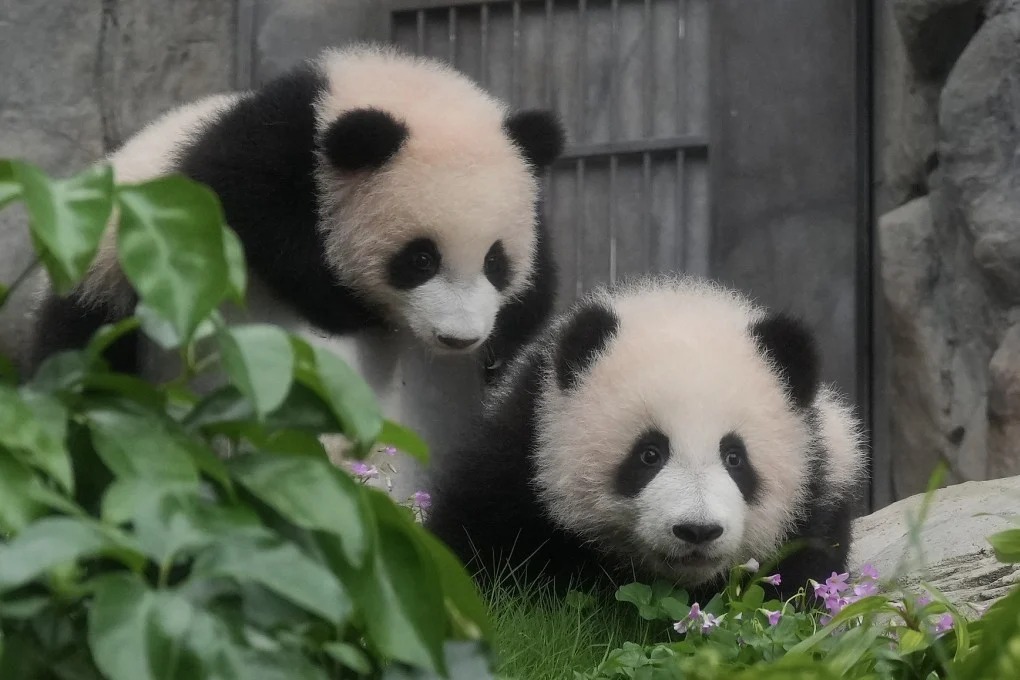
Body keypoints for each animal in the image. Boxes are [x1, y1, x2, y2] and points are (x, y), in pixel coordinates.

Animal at [26, 44, 565, 499]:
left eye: (495, 262)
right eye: (420, 259)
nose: (459, 338)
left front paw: (504, 342)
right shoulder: (260, 151)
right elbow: (241, 212)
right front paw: (343, 305)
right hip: (105, 277)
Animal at [424, 275, 868, 601]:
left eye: (735, 458)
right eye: (649, 454)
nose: (698, 530)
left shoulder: (820, 492)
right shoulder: (525, 447)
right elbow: (477, 536)